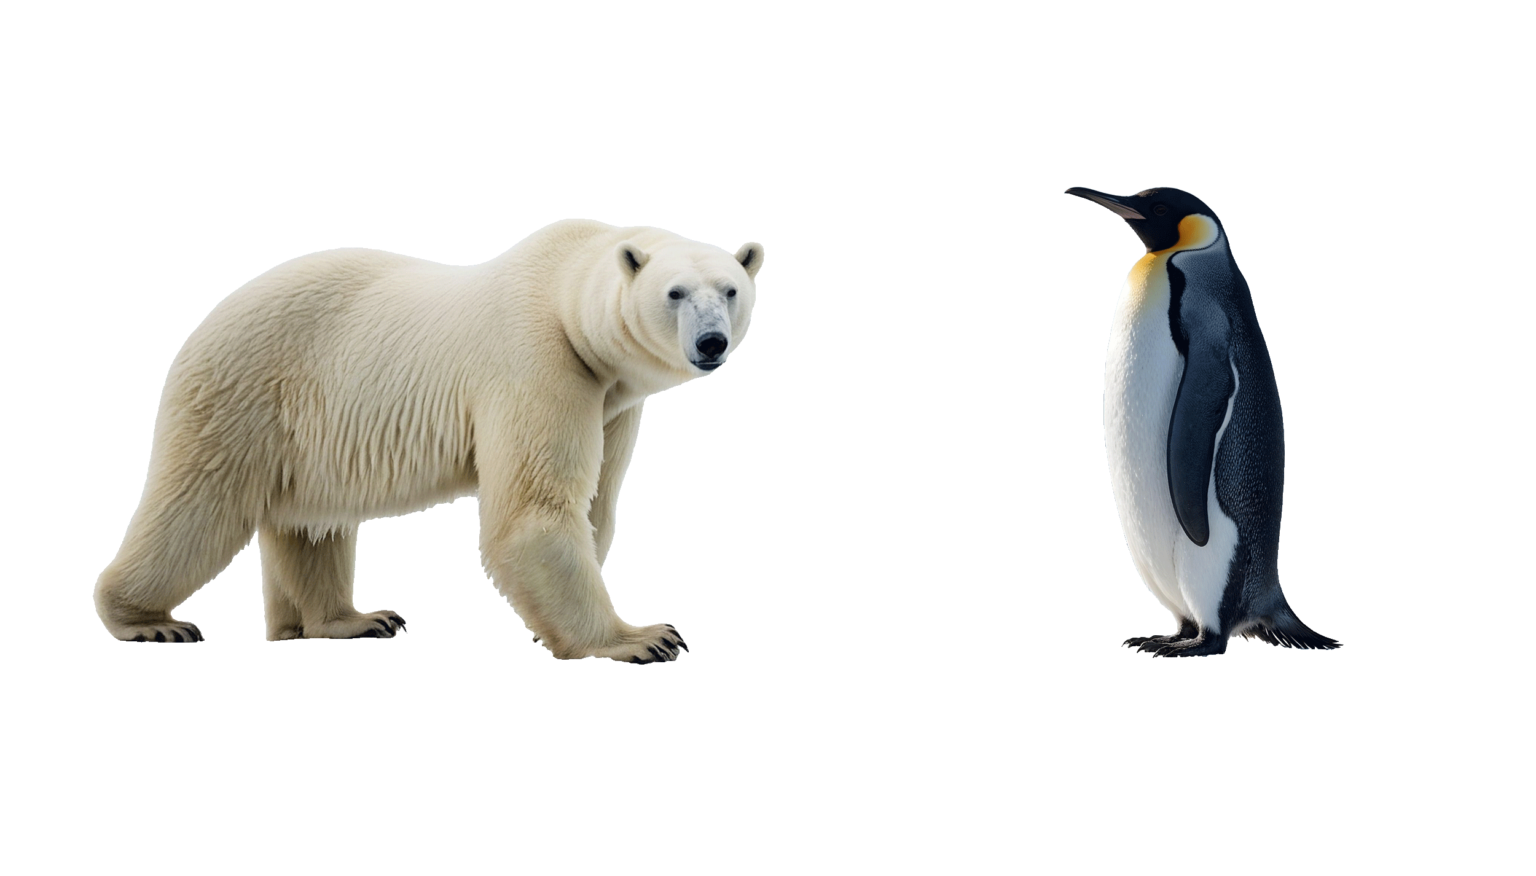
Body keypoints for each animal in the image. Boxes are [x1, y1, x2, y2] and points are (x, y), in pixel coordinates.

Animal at [94, 218, 762, 662]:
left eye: (731, 289)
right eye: (675, 293)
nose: (711, 343)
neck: (563, 291)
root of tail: (207, 319)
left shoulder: (611, 400)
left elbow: (596, 504)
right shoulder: (538, 360)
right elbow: (534, 513)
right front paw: (639, 639)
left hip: (304, 432)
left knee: (310, 522)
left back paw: (346, 621)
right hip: (247, 391)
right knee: (199, 507)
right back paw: (149, 620)